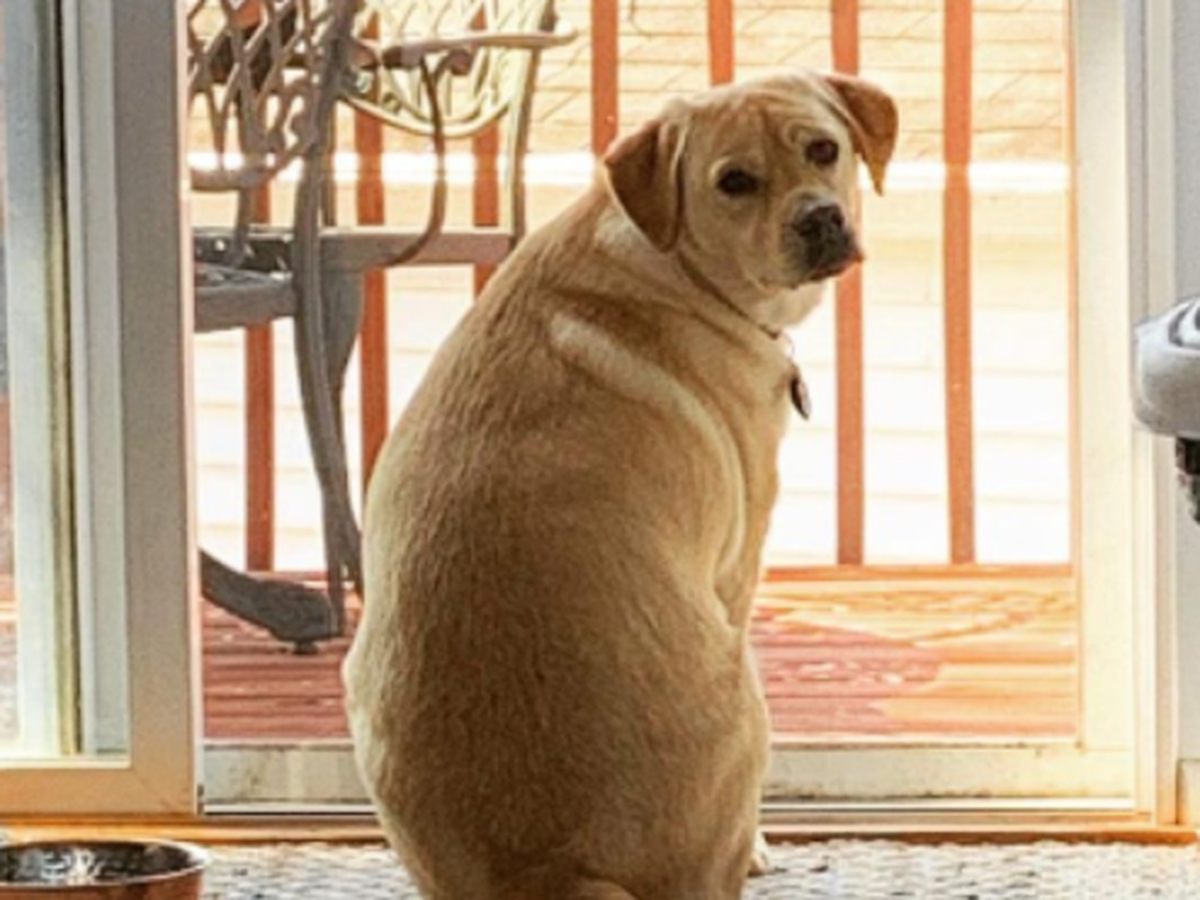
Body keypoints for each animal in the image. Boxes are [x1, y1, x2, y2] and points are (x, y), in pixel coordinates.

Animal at [343, 69, 897, 900]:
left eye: (824, 150)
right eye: (735, 182)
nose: (821, 218)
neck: (677, 260)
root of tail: (552, 872)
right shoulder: (736, 565)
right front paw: (762, 846)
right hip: (742, 685)